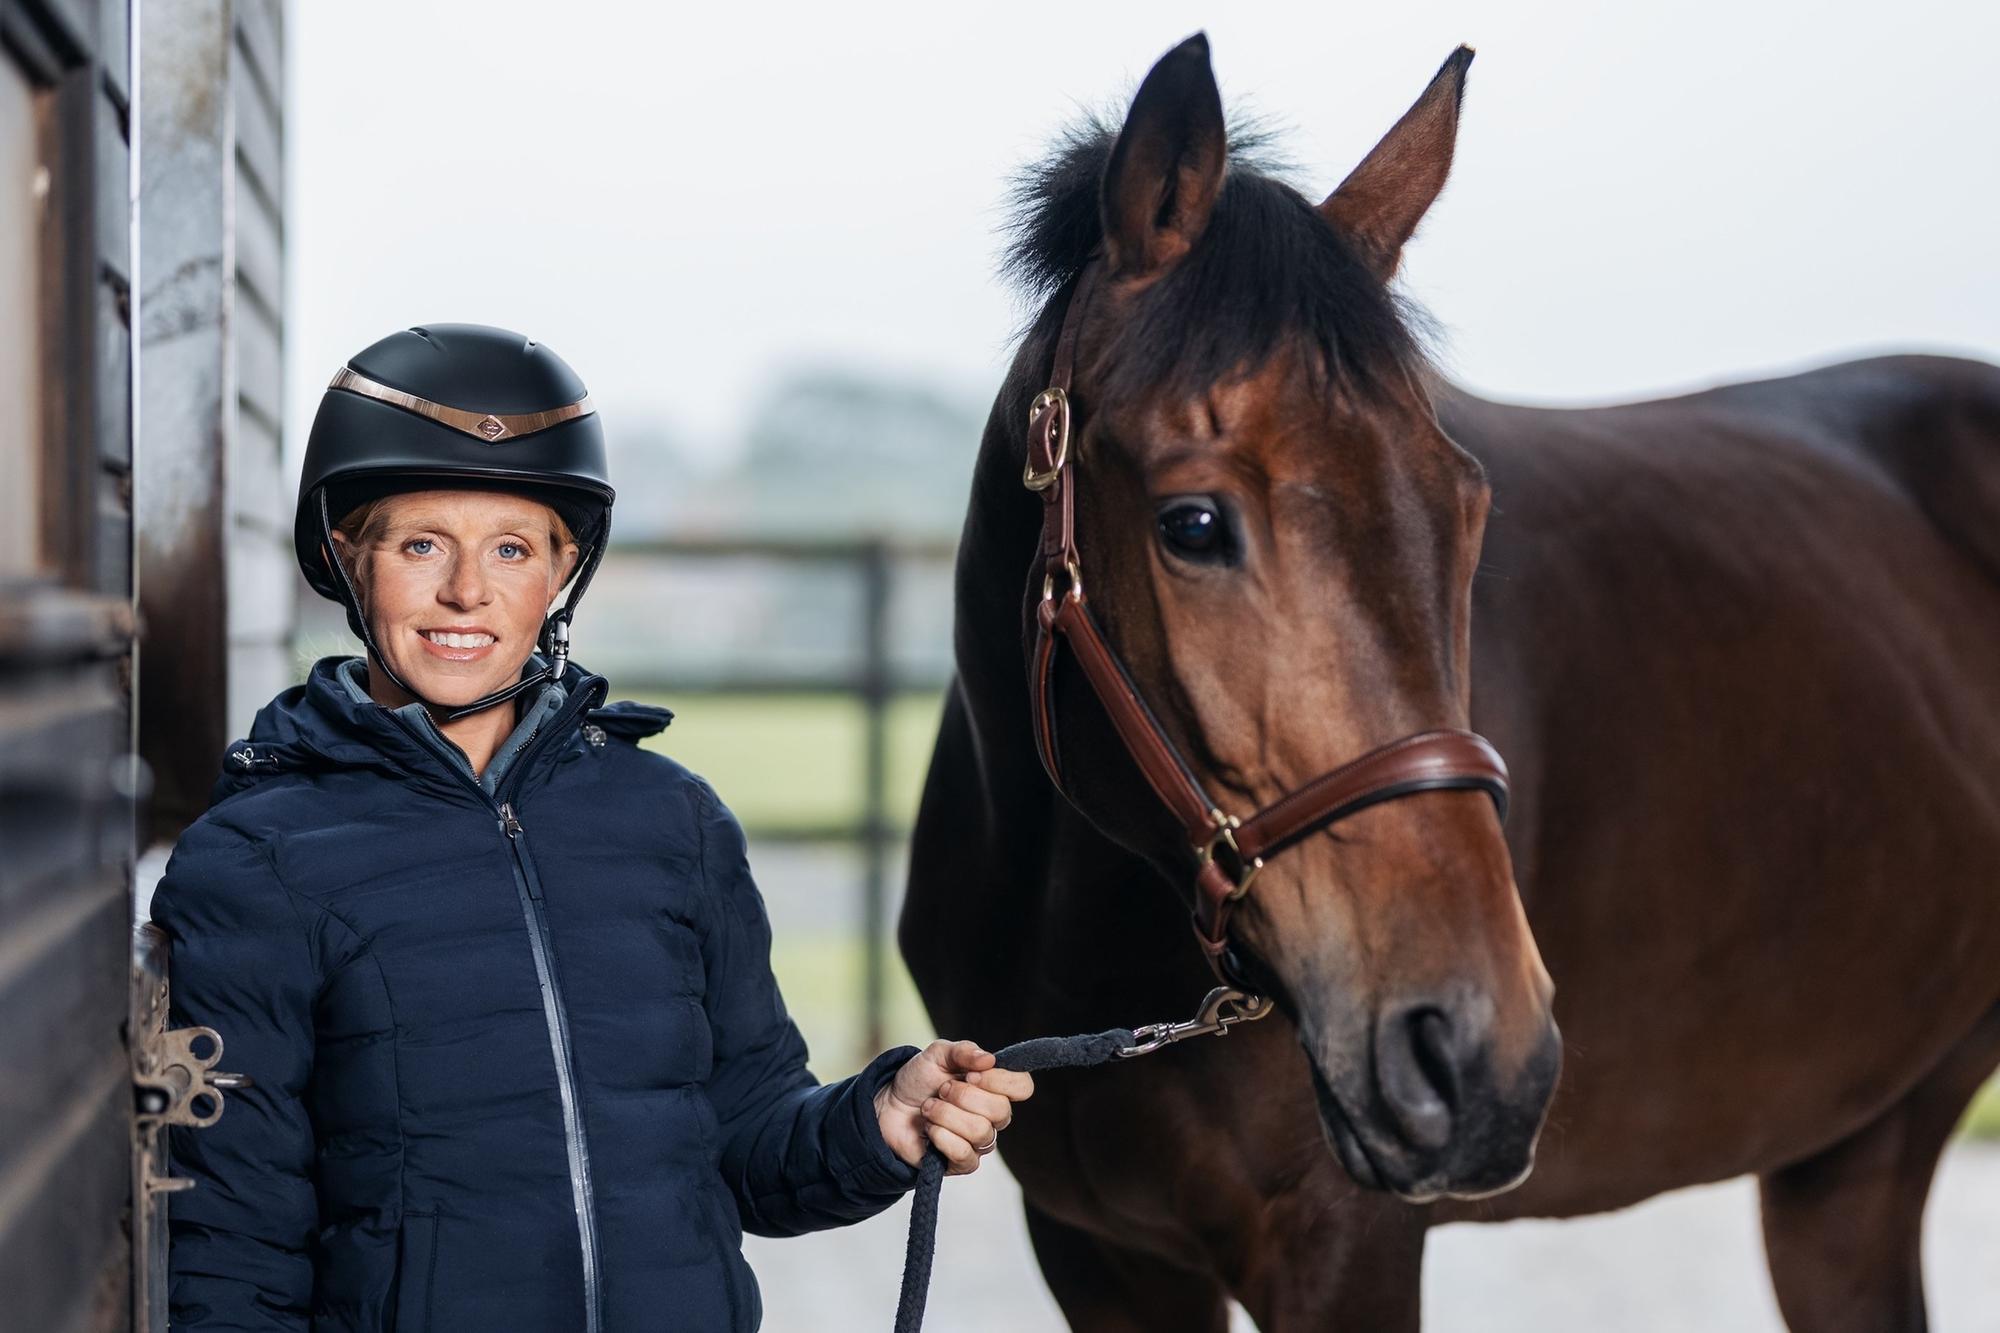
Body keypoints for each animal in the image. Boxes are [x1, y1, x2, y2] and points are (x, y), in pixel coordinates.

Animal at [897, 31, 2000, 1333]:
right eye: (1192, 523)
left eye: (1467, 508)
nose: (1478, 1059)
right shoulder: (1097, 1253)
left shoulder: (1343, 1248)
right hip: (1851, 1159)